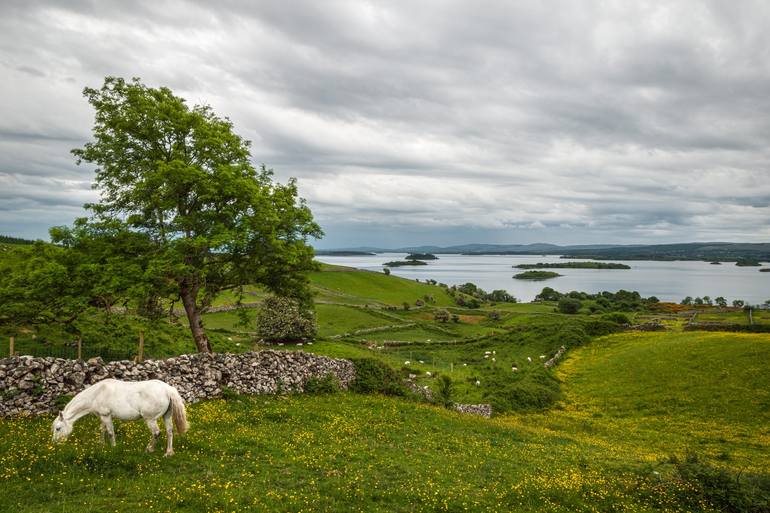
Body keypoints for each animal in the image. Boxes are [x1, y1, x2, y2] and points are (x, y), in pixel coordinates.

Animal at [51, 376, 188, 456]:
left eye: (58, 428)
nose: (54, 444)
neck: (97, 394)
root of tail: (168, 389)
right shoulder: (103, 417)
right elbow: (102, 430)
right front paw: (101, 446)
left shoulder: (106, 416)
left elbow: (110, 432)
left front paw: (113, 448)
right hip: (167, 416)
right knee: (169, 431)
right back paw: (168, 453)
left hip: (150, 419)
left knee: (156, 433)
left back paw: (149, 450)